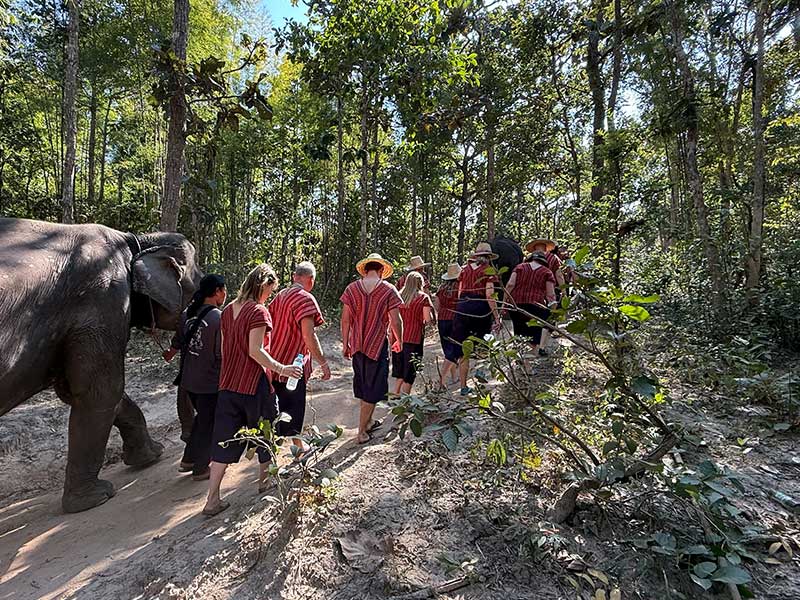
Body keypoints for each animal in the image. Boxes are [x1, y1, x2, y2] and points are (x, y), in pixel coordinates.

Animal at [0, 217, 202, 512]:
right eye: (198, 286)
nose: (185, 438)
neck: (136, 240)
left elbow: (81, 391)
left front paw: (151, 455)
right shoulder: (104, 300)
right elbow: (102, 390)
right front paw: (96, 498)